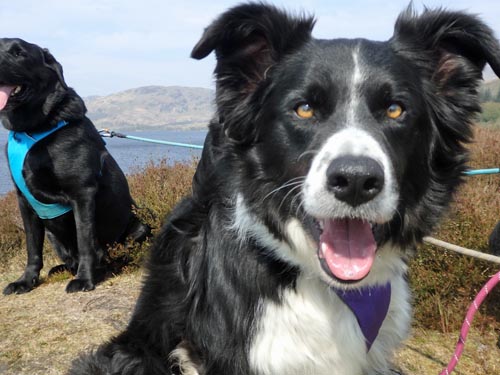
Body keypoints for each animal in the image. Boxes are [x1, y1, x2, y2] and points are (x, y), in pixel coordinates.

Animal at [0, 39, 150, 296]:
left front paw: (84, 279)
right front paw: (26, 281)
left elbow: (85, 240)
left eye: (19, 53)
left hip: (140, 225)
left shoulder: (82, 193)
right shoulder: (24, 201)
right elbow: (32, 248)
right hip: (53, 237)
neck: (34, 128)